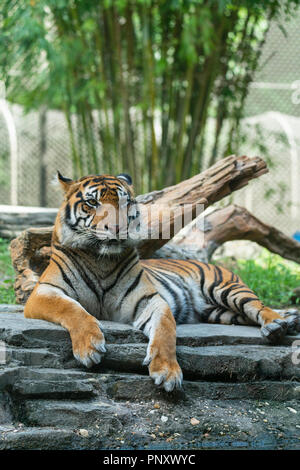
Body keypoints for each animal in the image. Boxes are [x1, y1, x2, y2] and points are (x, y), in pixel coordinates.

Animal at [24, 173, 300, 392]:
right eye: (92, 203)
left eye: (125, 202)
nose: (117, 228)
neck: (101, 259)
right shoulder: (43, 292)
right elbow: (73, 309)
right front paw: (89, 346)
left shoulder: (151, 300)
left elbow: (166, 332)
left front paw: (167, 372)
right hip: (218, 312)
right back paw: (286, 323)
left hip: (225, 287)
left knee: (259, 306)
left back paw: (276, 324)